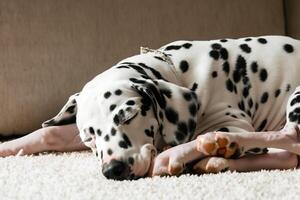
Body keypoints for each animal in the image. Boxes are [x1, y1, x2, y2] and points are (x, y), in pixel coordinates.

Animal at [1, 35, 300, 180]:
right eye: (88, 137)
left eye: (128, 115)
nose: (113, 170)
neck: (178, 70)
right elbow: (48, 132)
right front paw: (8, 147)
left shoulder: (235, 123)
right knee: (289, 156)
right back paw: (216, 159)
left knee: (290, 139)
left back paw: (202, 150)